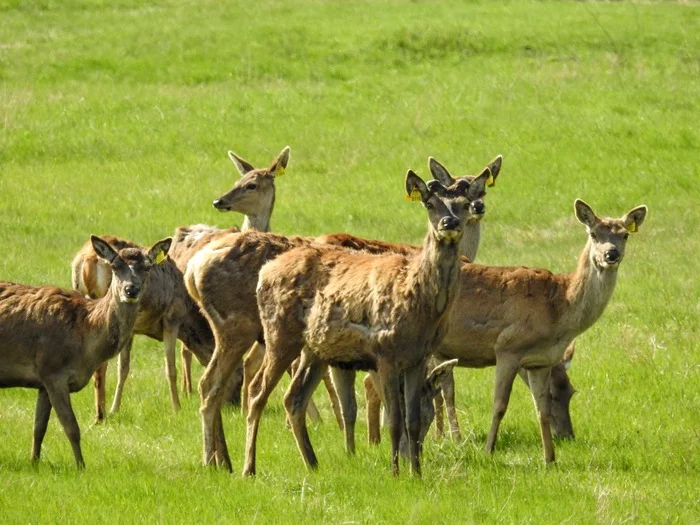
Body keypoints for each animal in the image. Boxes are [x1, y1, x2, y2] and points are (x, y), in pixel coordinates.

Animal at [0, 235, 172, 464]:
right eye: (115, 266)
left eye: (147, 267)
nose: (131, 290)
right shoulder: (52, 370)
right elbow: (71, 427)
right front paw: (81, 465)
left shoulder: (43, 381)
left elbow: (38, 428)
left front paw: (34, 461)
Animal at [243, 170, 468, 476]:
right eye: (429, 204)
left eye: (464, 205)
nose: (450, 223)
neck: (421, 304)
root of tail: (264, 271)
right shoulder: (385, 351)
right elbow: (394, 419)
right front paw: (395, 473)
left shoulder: (418, 357)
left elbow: (411, 420)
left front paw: (417, 473)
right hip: (279, 334)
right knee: (258, 392)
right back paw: (249, 468)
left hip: (315, 349)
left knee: (293, 397)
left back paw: (312, 463)